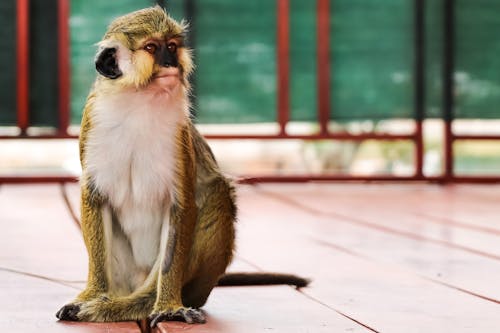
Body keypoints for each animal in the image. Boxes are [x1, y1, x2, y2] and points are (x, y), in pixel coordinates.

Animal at [53, 6, 304, 326]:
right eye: (152, 48)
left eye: (172, 46)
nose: (170, 62)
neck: (138, 103)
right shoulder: (92, 124)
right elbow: (95, 198)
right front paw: (91, 294)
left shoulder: (179, 140)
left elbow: (182, 205)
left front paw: (168, 305)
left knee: (218, 191)